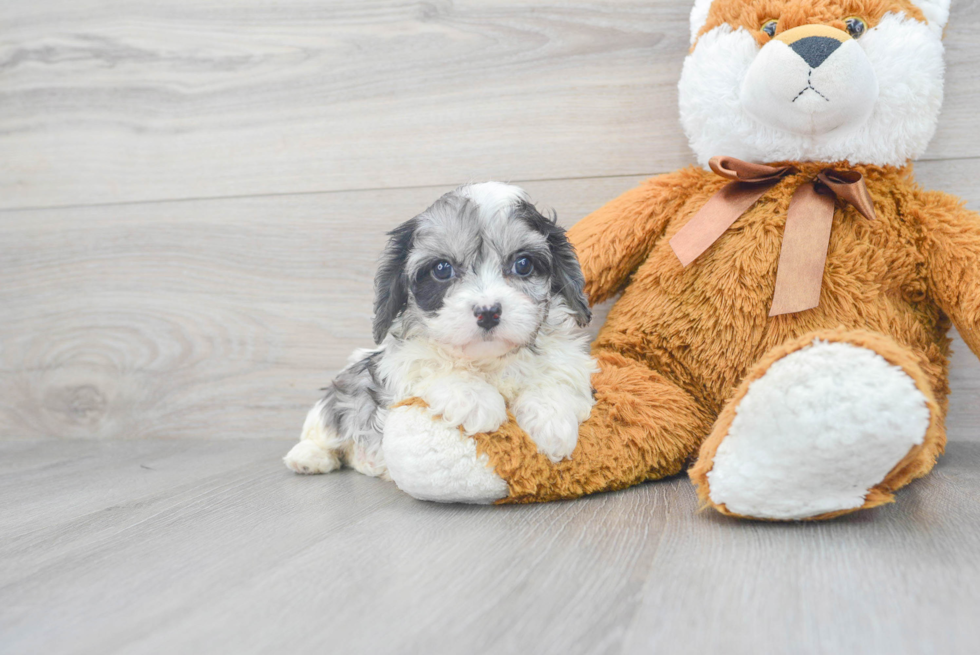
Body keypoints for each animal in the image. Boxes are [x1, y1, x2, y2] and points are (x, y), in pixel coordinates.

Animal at [284, 182, 596, 480]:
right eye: (442, 269)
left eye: (523, 264)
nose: (488, 312)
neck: (489, 361)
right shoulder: (399, 363)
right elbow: (434, 365)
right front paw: (476, 400)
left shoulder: (568, 362)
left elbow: (555, 377)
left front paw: (552, 421)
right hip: (342, 391)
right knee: (326, 426)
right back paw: (309, 457)